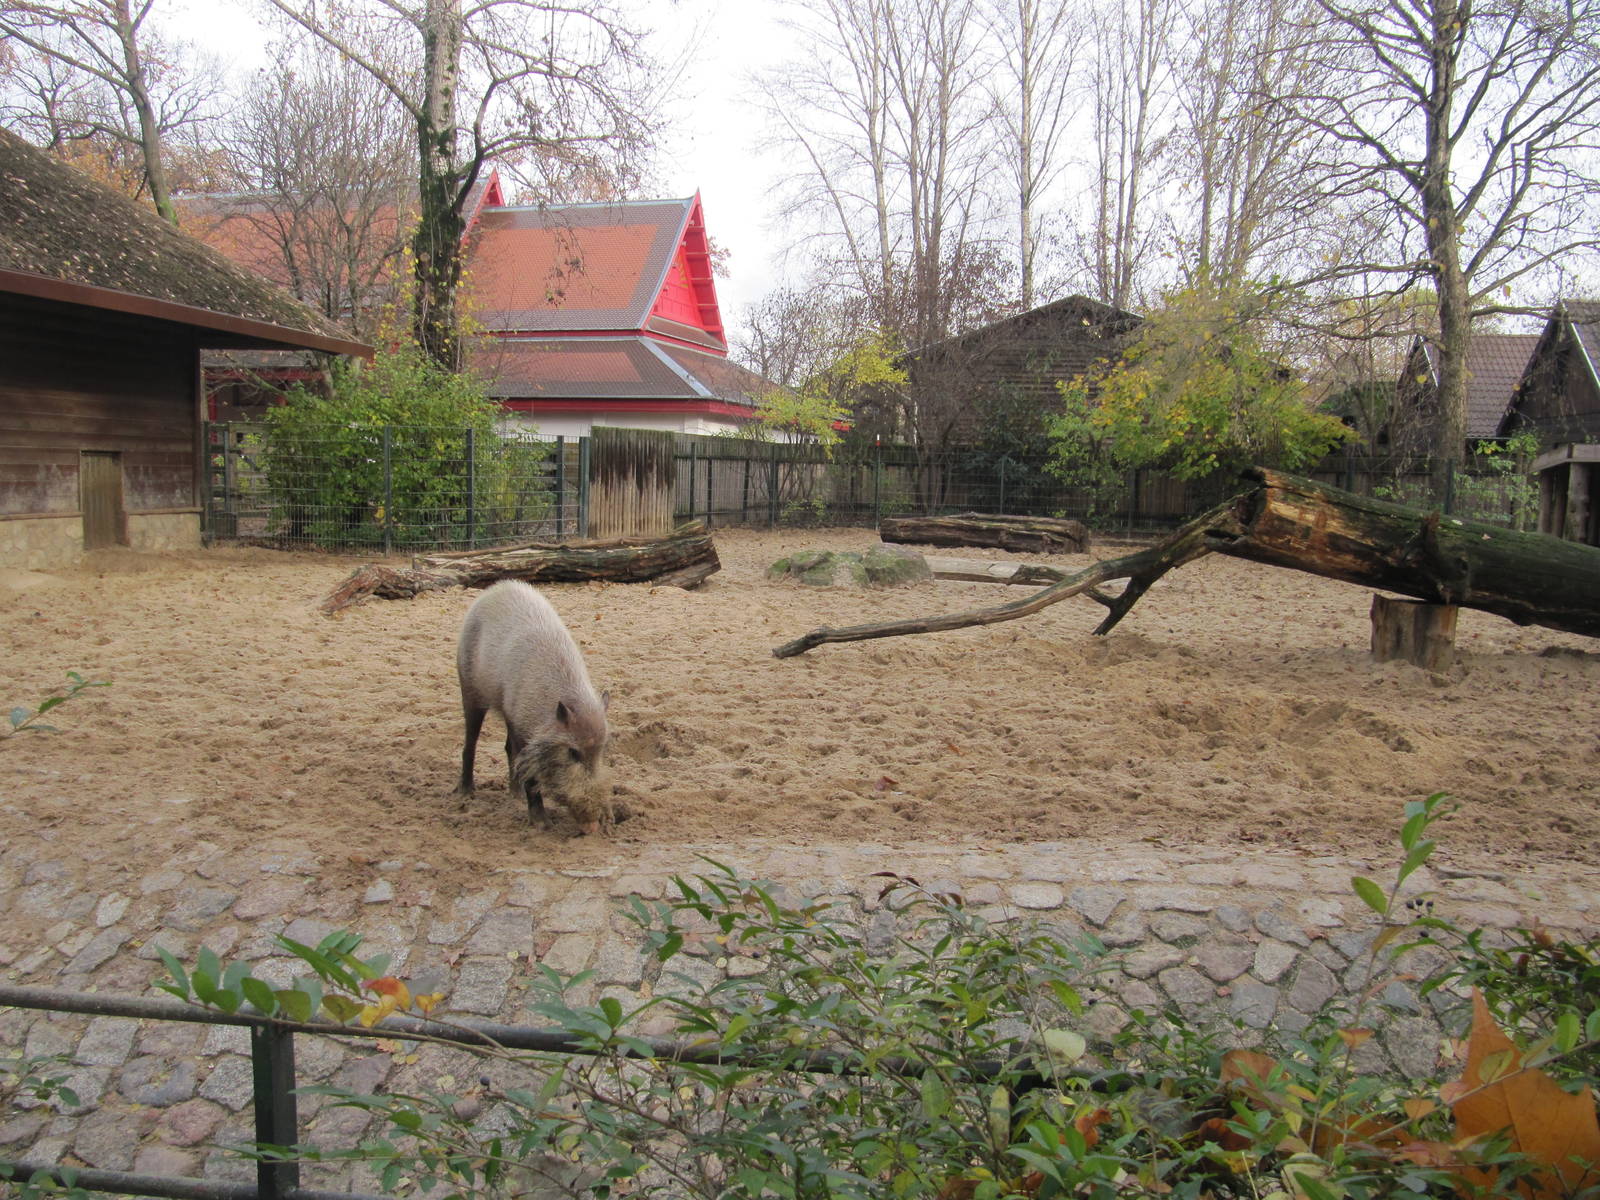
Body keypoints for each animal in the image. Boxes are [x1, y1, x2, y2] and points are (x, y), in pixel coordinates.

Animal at [453, 580, 615, 835]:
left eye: (602, 750)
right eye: (573, 752)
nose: (591, 827)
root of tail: (493, 590)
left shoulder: (517, 719)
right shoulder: (522, 730)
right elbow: (530, 776)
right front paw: (542, 823)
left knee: (507, 749)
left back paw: (515, 796)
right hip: (469, 688)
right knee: (471, 742)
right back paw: (466, 793)